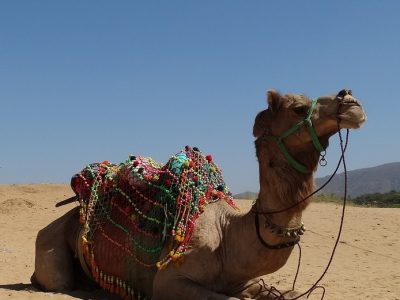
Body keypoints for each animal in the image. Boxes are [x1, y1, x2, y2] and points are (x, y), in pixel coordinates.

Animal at [31, 88, 366, 298]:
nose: (351, 101)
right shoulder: (169, 282)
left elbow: (289, 292)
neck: (230, 235)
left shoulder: (244, 281)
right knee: (59, 279)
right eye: (299, 108)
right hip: (51, 248)